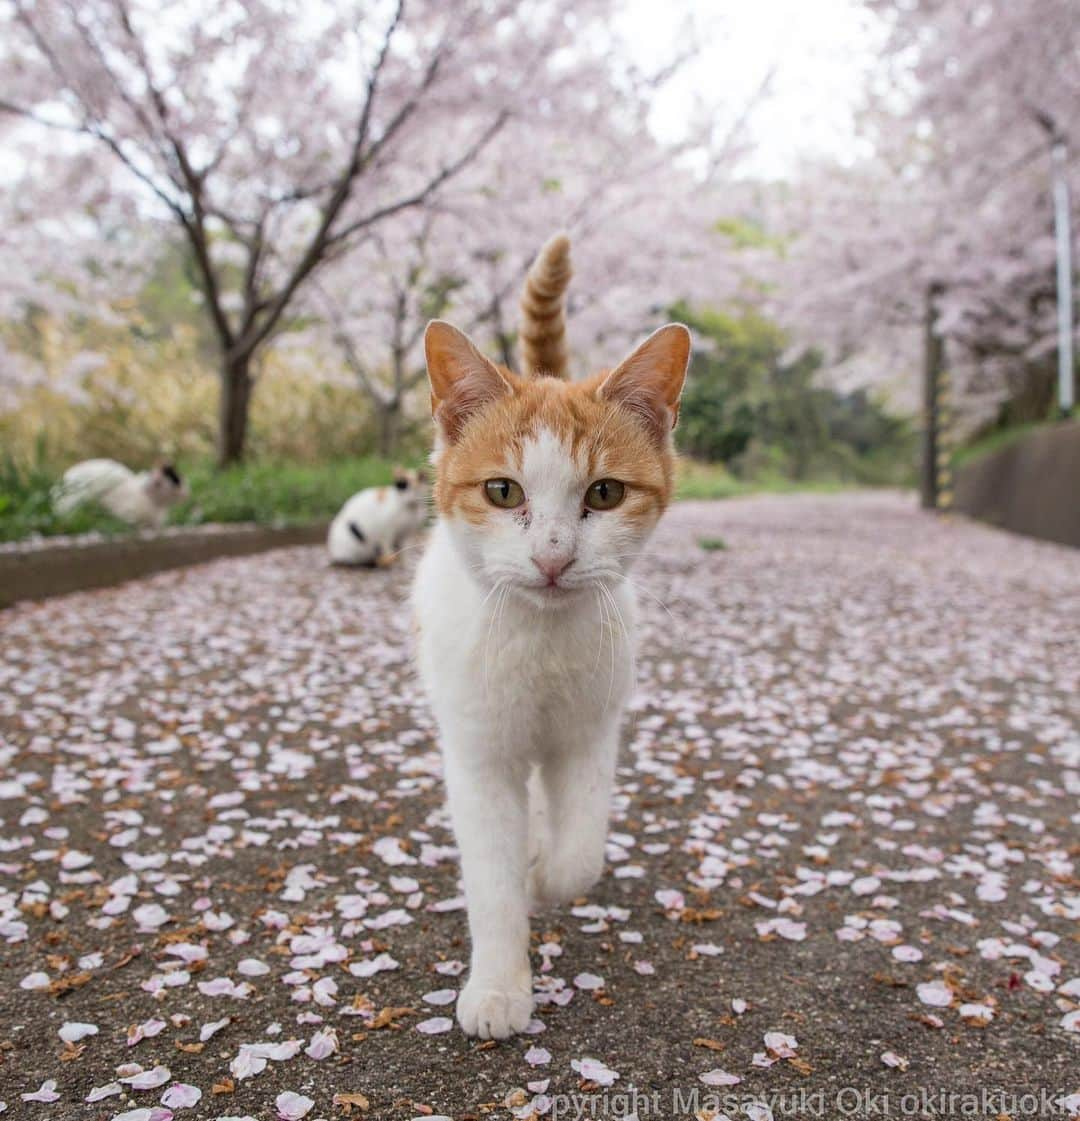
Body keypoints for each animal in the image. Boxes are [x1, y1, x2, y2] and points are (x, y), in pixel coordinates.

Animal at [410, 236, 686, 1040]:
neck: (541, 642)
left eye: (605, 493)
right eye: (503, 491)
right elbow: (491, 875)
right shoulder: (479, 754)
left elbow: (580, 854)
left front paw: (546, 876)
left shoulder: (592, 733)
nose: (554, 557)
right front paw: (501, 985)